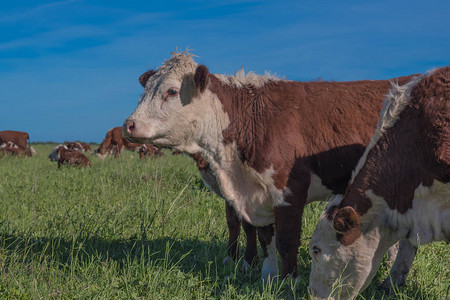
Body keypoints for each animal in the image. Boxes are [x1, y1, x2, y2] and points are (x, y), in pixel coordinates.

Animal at [124, 51, 418, 282]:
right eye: (144, 91)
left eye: (172, 91)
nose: (129, 124)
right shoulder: (255, 193)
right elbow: (263, 235)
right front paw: (266, 275)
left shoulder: (288, 191)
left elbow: (286, 238)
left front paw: (287, 282)